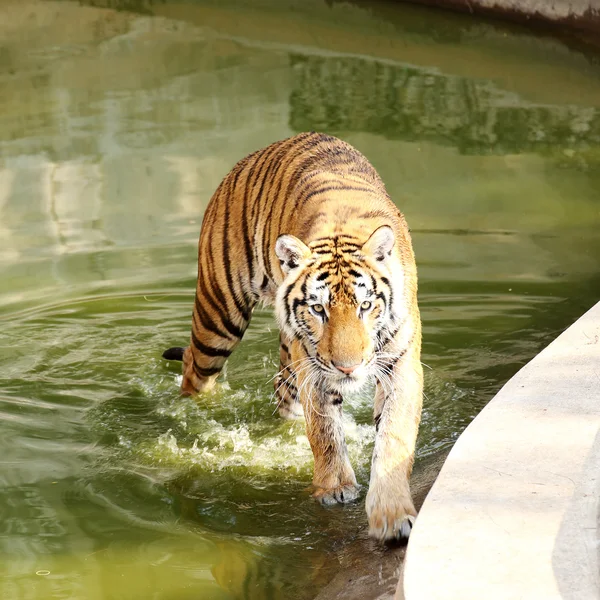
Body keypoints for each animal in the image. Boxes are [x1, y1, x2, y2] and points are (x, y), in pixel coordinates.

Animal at [162, 132, 424, 544]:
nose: (348, 368)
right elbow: (325, 432)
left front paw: (392, 515)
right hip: (219, 318)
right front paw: (335, 488)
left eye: (366, 305)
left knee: (281, 393)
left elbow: (393, 439)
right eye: (318, 309)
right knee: (193, 366)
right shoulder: (314, 368)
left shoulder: (400, 365)